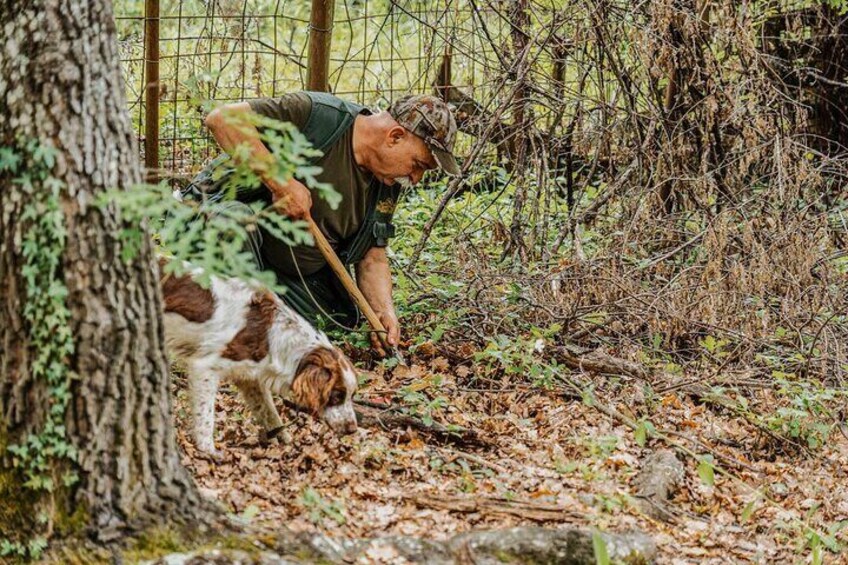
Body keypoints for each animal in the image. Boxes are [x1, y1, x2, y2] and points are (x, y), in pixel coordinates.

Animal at [159, 260, 358, 458]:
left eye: (351, 395)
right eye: (337, 395)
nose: (353, 430)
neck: (272, 335)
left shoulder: (250, 379)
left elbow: (270, 414)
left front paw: (286, 441)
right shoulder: (204, 368)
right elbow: (205, 418)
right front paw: (208, 450)